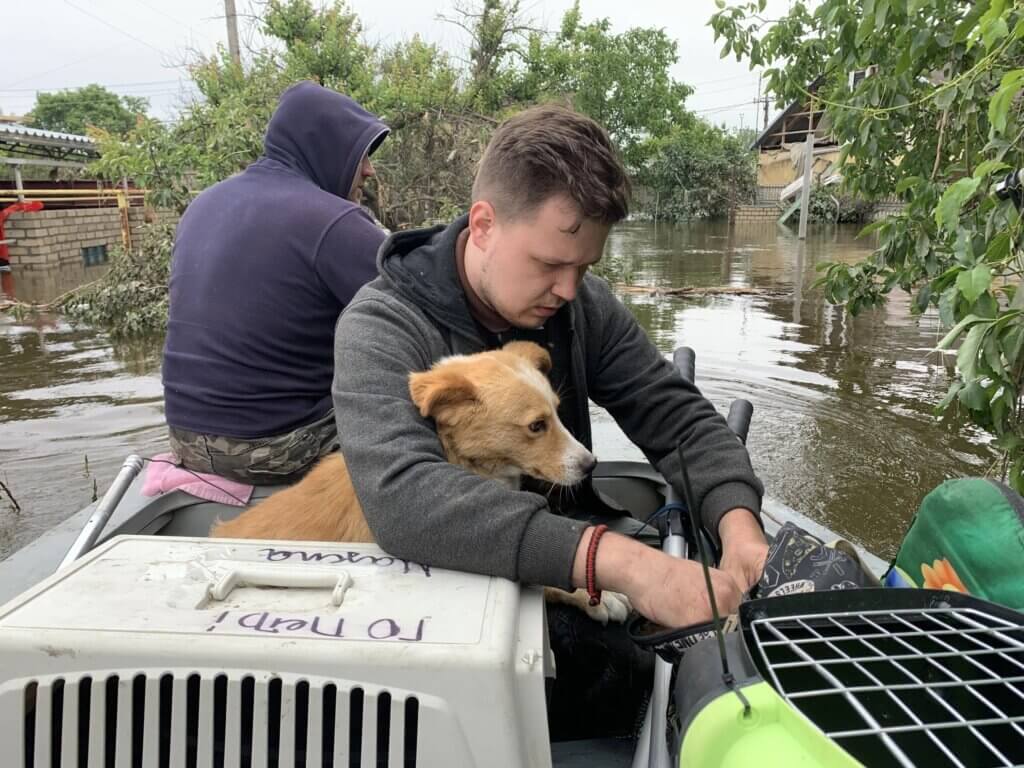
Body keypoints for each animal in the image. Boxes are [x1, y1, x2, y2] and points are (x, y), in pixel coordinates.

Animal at [210, 342, 630, 626]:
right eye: (536, 426)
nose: (590, 464)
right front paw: (599, 595)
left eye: (556, 413)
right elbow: (540, 576)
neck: (456, 456)